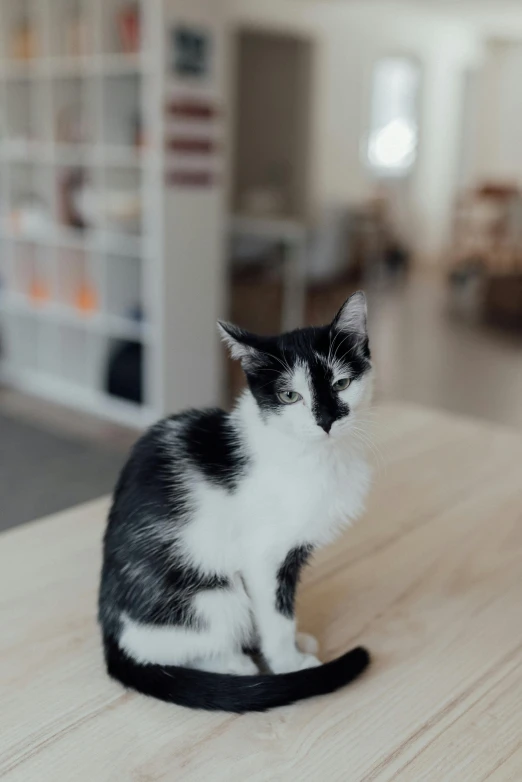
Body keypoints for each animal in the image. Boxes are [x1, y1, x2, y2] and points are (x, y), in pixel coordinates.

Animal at [98, 290, 374, 712]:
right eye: (289, 395)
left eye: (342, 383)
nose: (327, 420)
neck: (314, 455)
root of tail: (111, 634)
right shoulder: (264, 557)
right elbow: (276, 616)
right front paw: (288, 663)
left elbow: (280, 610)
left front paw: (293, 644)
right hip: (211, 596)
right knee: (160, 648)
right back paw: (233, 663)